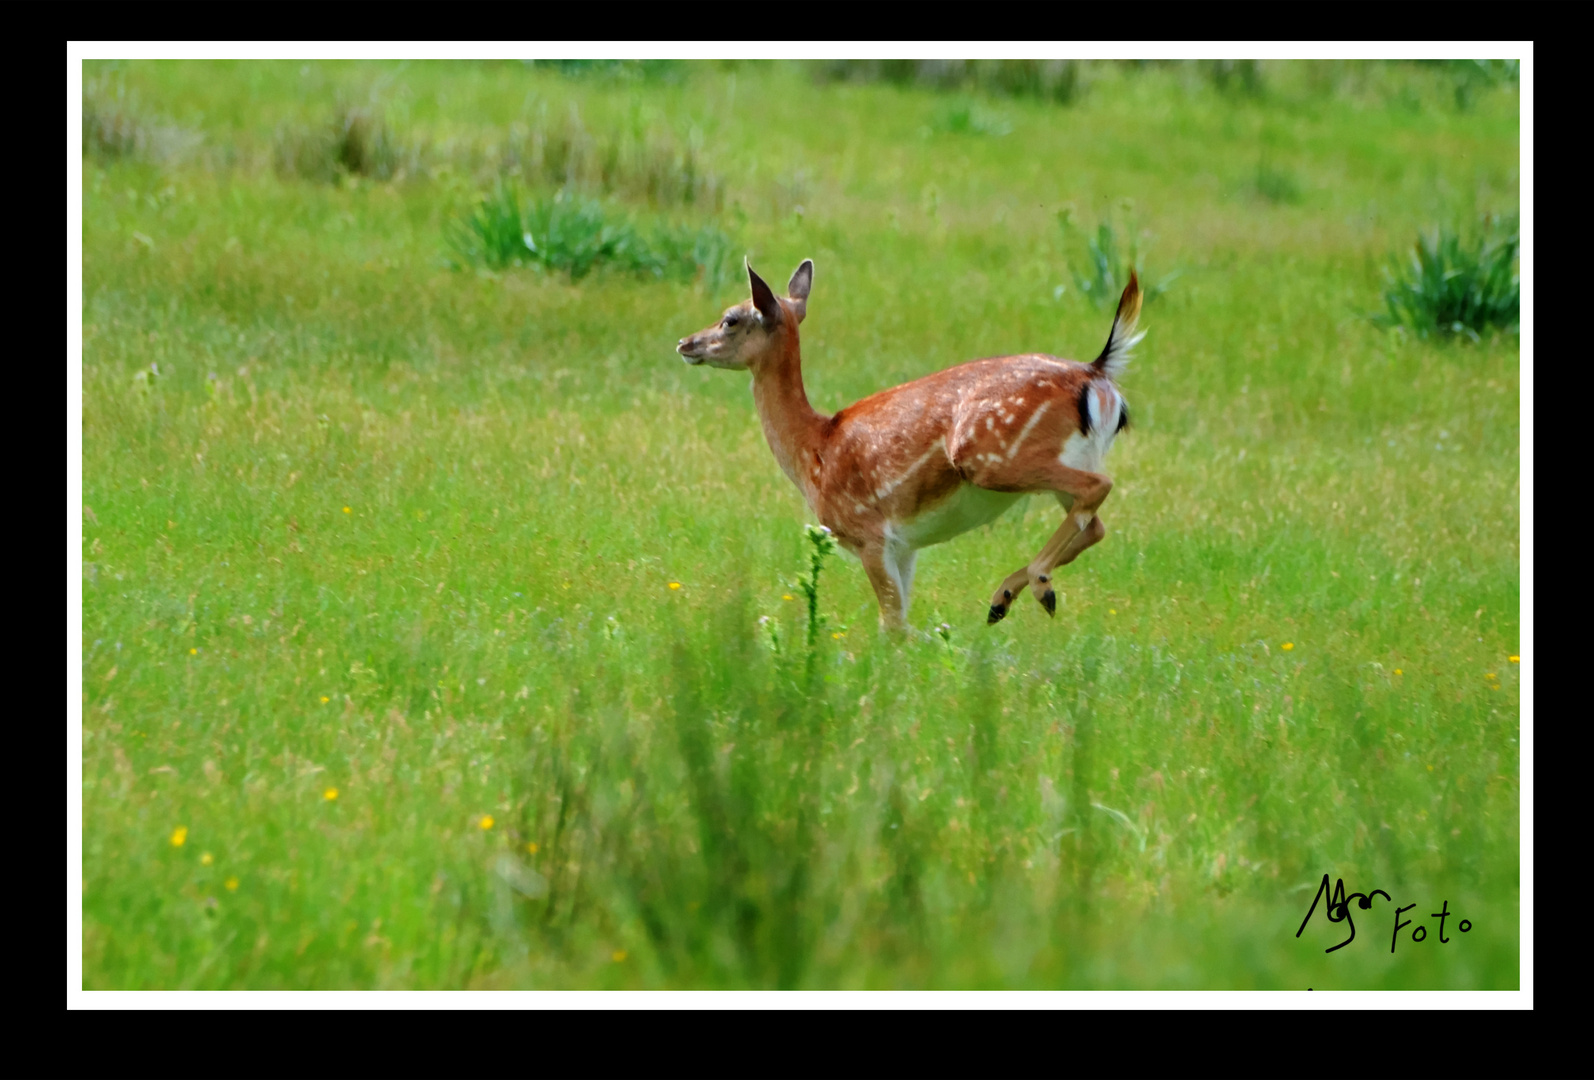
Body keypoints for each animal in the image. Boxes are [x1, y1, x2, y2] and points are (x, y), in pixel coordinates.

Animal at [679, 259, 1141, 633]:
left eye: (729, 319)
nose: (685, 343)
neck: (815, 450)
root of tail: (1097, 375)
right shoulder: (905, 546)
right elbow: (897, 620)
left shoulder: (869, 533)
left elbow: (895, 625)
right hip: (1065, 457)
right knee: (1094, 523)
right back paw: (1003, 599)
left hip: (991, 457)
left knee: (1098, 488)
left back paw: (1039, 586)